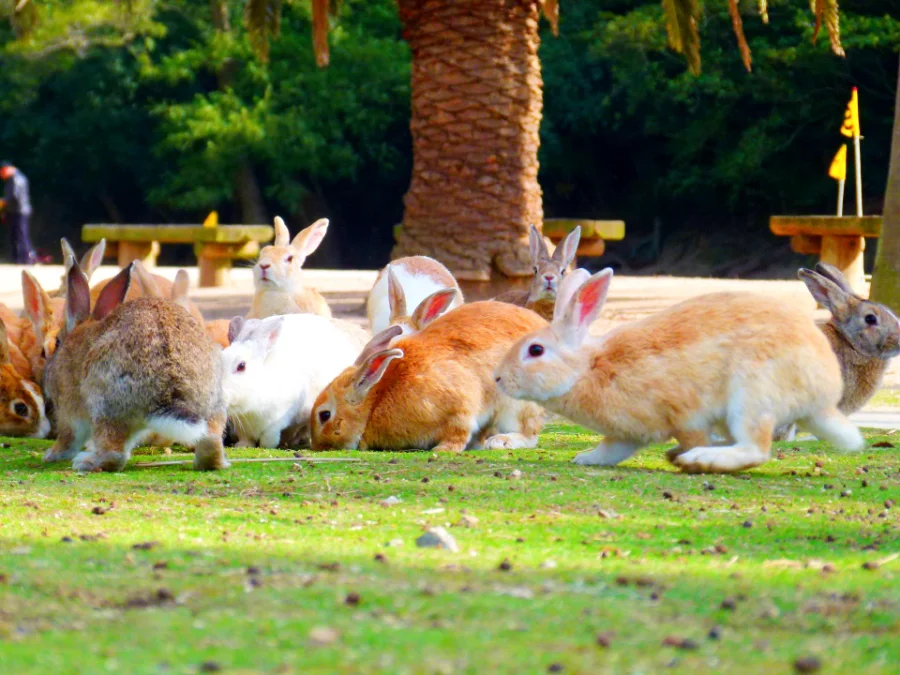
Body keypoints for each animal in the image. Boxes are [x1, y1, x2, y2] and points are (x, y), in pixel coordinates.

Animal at [42, 262, 228, 472]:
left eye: (57, 342)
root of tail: (171, 393)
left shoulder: (68, 405)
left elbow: (68, 435)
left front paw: (52, 455)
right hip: (213, 407)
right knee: (211, 443)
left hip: (104, 404)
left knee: (114, 454)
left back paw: (86, 462)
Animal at [221, 313, 369, 449]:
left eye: (241, 366)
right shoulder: (242, 427)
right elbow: (246, 439)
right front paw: (242, 446)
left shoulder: (278, 421)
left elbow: (269, 438)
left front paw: (268, 445)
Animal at [310, 301, 548, 453]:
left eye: (325, 415)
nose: (319, 447)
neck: (375, 403)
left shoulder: (459, 408)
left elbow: (458, 430)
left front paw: (443, 449)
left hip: (515, 405)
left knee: (530, 435)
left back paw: (500, 442)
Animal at [493, 269, 864, 474]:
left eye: (535, 350)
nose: (497, 378)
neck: (589, 369)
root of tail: (822, 396)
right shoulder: (627, 432)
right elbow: (611, 449)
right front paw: (585, 459)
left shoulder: (684, 415)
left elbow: (692, 433)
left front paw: (692, 455)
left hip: (751, 396)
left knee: (754, 448)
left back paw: (701, 459)